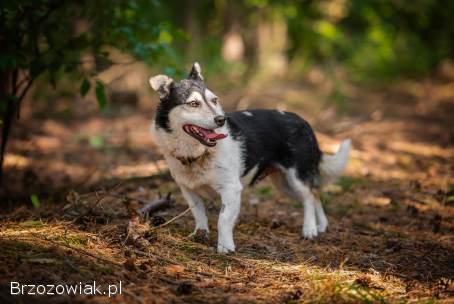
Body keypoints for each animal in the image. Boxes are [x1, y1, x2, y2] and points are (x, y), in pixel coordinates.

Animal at [150, 63, 352, 253]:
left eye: (214, 100)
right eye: (193, 103)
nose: (221, 120)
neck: (198, 154)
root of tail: (304, 122)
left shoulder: (231, 190)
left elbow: (223, 219)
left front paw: (225, 246)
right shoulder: (189, 190)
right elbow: (199, 214)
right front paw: (200, 234)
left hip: (297, 177)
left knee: (309, 198)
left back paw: (309, 229)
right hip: (284, 184)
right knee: (315, 195)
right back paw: (321, 225)